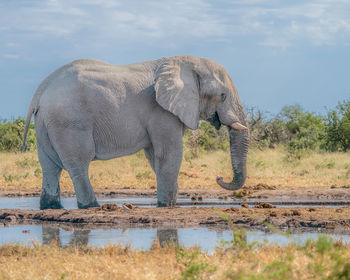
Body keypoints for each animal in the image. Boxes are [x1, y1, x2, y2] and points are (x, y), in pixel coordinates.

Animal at [21, 54, 249, 209]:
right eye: (223, 95)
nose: (219, 177)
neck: (188, 63)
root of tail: (40, 91)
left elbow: (155, 157)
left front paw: (169, 201)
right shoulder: (160, 110)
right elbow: (169, 154)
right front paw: (166, 205)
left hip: (45, 124)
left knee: (49, 166)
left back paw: (51, 207)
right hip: (69, 122)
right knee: (78, 164)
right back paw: (92, 206)